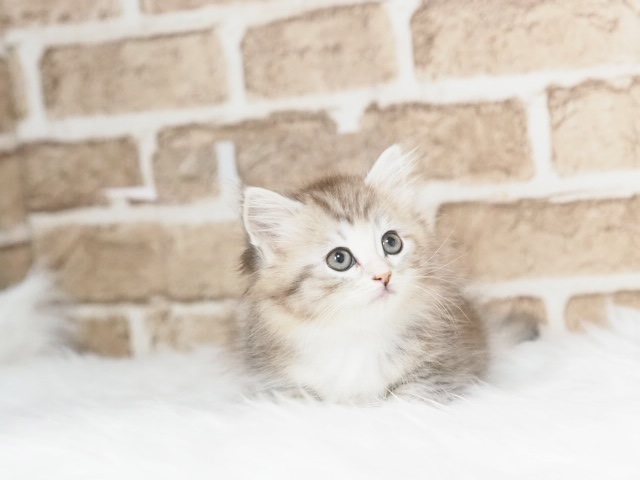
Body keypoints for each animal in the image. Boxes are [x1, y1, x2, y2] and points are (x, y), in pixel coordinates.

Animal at [237, 145, 526, 404]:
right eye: (339, 259)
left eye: (391, 242)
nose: (384, 276)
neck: (360, 335)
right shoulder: (281, 383)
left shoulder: (438, 370)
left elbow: (407, 400)